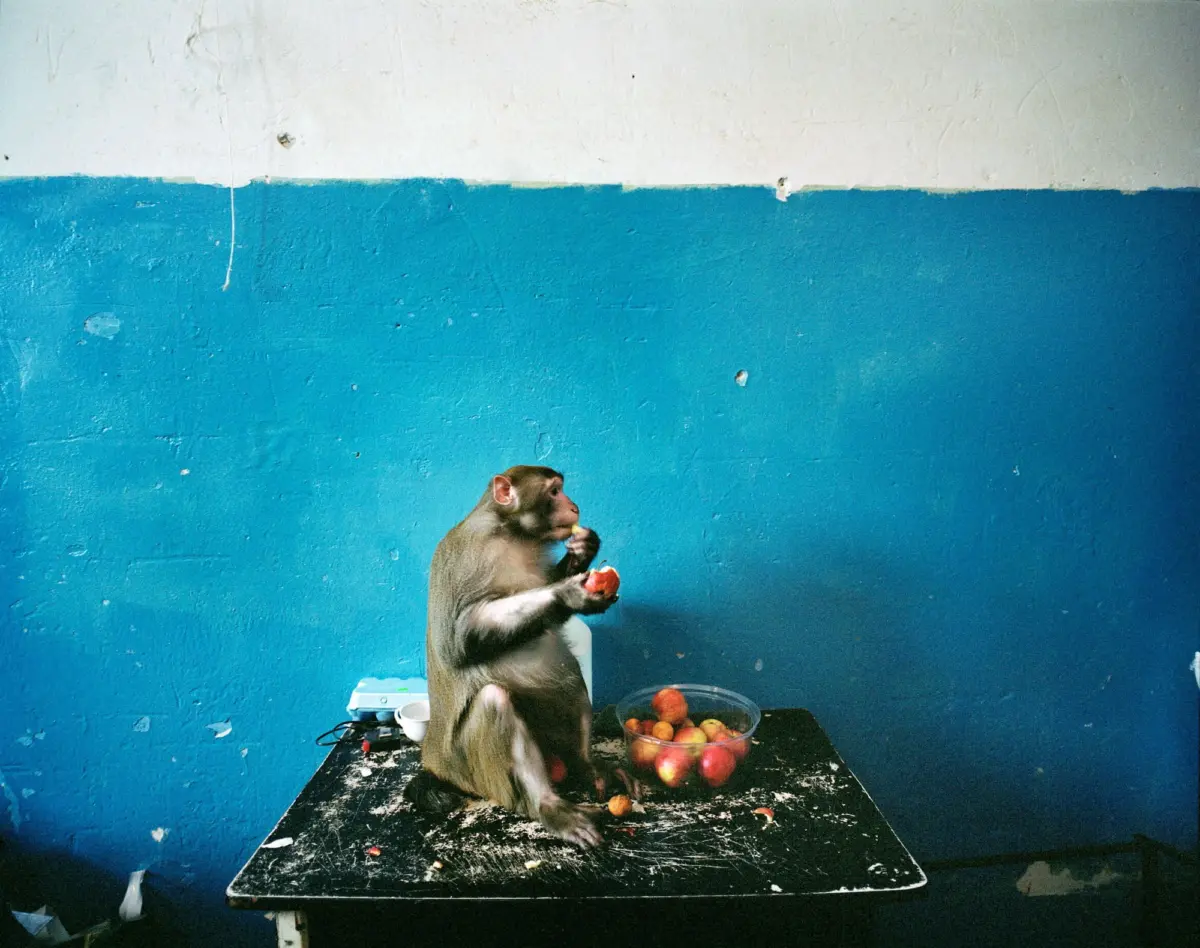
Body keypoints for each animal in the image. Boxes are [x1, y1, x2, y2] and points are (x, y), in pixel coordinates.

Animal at [403, 465, 631, 848]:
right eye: (554, 492)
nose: (573, 506)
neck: (511, 533)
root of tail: (434, 759)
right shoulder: (472, 555)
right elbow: (460, 637)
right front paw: (567, 593)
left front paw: (582, 550)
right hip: (470, 769)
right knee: (494, 700)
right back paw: (549, 807)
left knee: (569, 676)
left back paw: (586, 766)